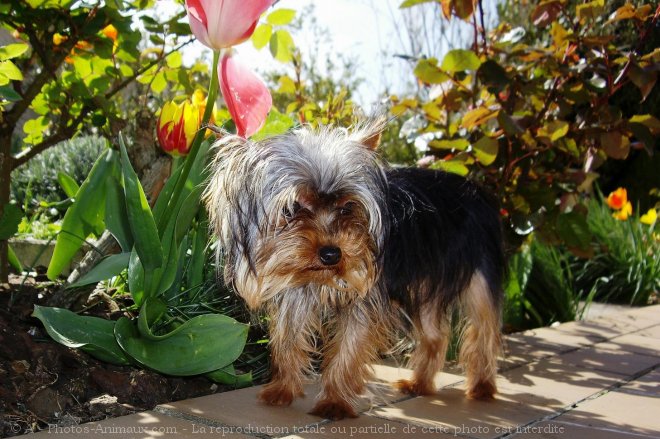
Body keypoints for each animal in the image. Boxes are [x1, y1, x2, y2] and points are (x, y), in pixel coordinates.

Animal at [204, 118, 502, 422]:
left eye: (347, 207)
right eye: (292, 208)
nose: (332, 254)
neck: (319, 278)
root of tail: (474, 189)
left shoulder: (364, 296)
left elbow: (348, 347)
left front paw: (334, 402)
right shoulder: (294, 295)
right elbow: (287, 340)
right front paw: (282, 389)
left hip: (480, 270)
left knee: (484, 327)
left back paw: (482, 386)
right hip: (426, 282)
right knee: (434, 335)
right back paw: (420, 384)